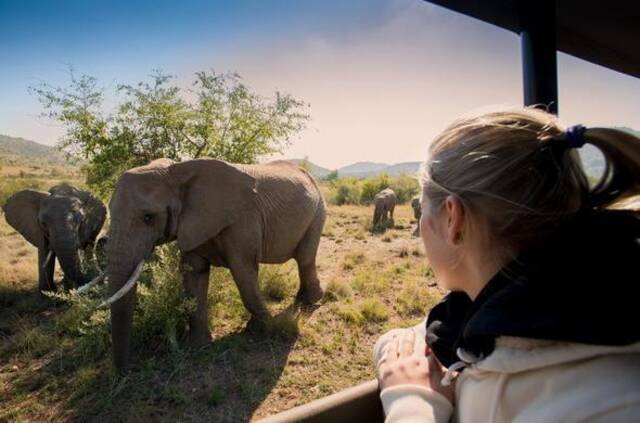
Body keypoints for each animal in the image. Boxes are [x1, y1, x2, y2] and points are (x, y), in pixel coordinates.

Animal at [102, 158, 328, 372]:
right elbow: (194, 275)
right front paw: (199, 346)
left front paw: (265, 328)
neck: (176, 171)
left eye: (148, 217)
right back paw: (303, 300)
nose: (130, 369)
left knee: (305, 258)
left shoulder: (242, 221)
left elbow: (243, 272)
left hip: (319, 210)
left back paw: (311, 302)